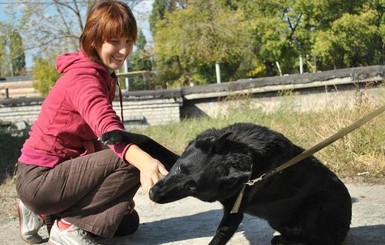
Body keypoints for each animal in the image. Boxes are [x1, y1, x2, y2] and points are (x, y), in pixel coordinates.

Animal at [146, 123, 350, 245]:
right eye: (179, 168)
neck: (242, 155)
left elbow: (219, 236)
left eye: (192, 187)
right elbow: (149, 142)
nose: (152, 194)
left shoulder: (235, 212)